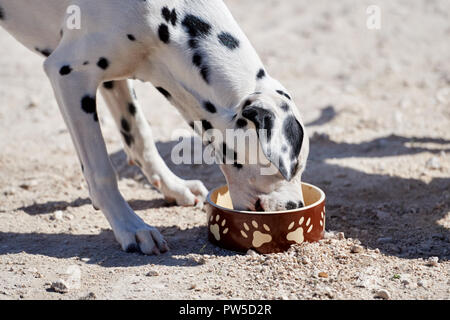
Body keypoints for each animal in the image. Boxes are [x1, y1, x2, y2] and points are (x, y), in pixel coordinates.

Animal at [0, 0, 310, 255]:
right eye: (293, 167)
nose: (296, 209)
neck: (163, 18)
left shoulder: (116, 77)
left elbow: (140, 136)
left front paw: (172, 186)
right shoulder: (69, 74)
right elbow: (102, 171)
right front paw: (131, 227)